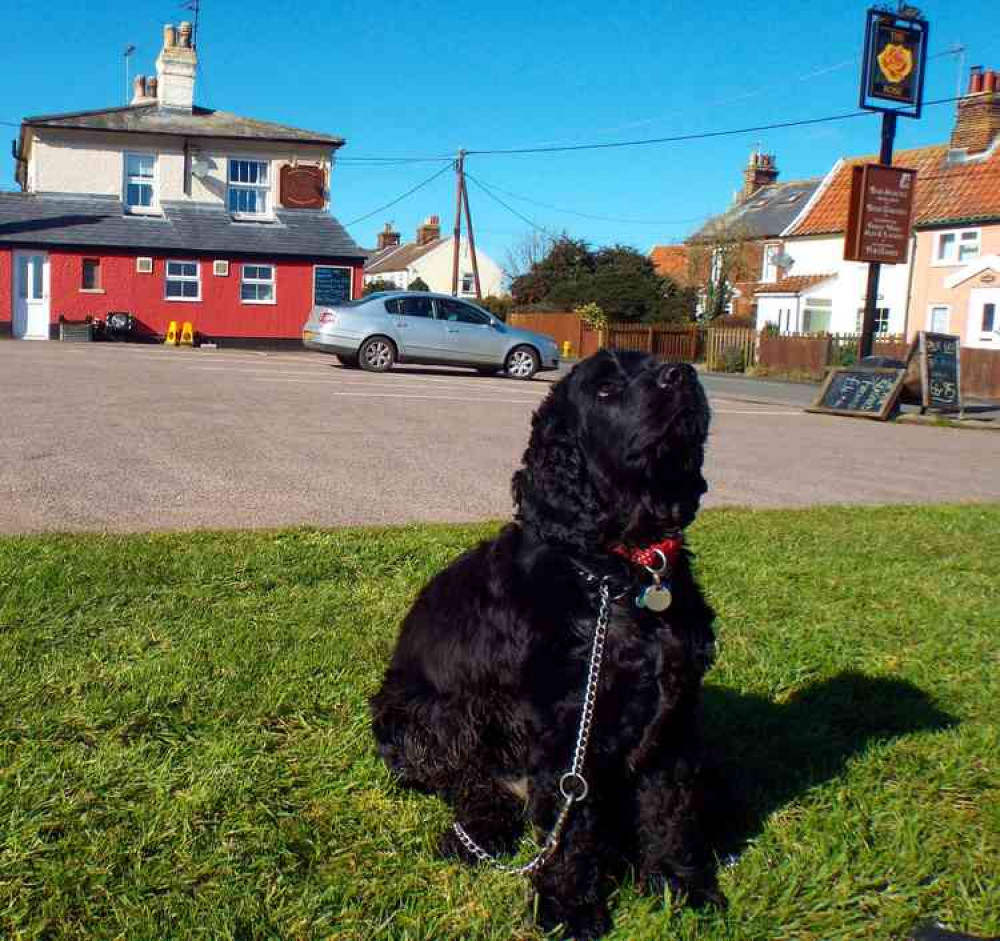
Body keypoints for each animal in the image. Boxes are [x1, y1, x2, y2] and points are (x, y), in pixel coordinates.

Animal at [368, 348, 720, 936]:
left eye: (657, 363)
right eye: (605, 390)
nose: (684, 375)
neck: (618, 573)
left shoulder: (674, 715)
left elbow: (671, 809)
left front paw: (681, 885)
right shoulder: (565, 725)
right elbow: (570, 830)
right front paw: (569, 908)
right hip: (429, 712)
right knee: (470, 784)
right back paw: (477, 837)